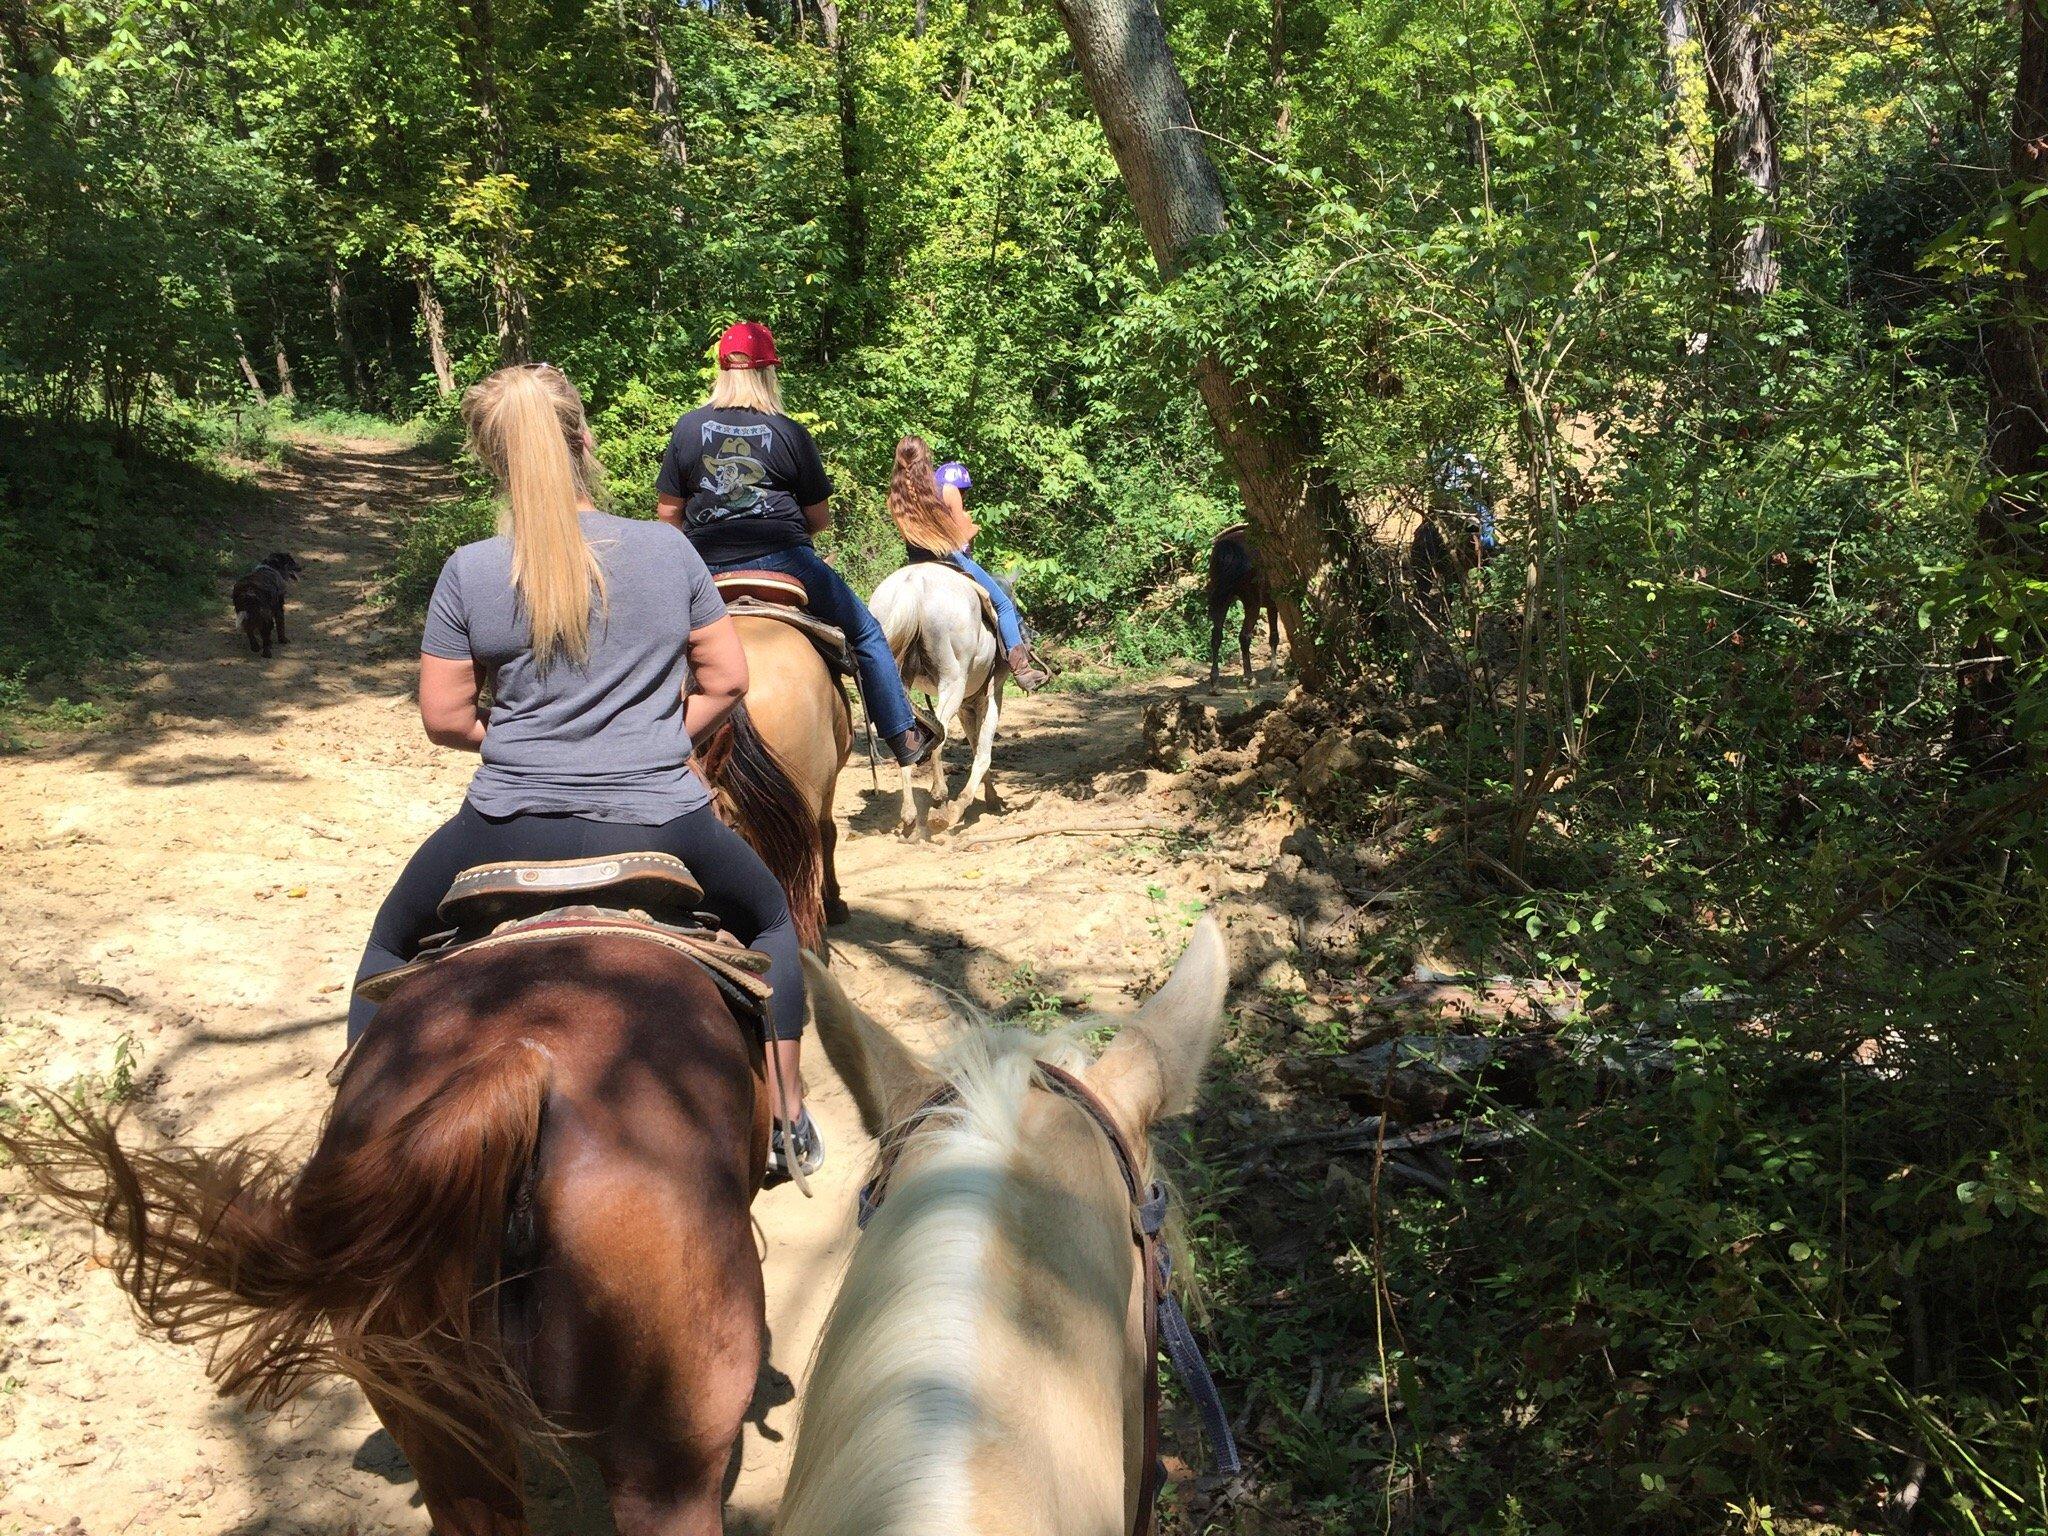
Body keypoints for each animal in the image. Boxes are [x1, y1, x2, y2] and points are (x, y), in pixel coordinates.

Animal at [872, 561, 1007, 835]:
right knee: (940, 739)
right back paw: (941, 801)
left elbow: (976, 747)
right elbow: (983, 752)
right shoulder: (990, 697)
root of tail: (913, 583)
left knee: (908, 742)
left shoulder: (968, 706)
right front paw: (977, 801)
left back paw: (910, 817)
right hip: (952, 683)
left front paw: (990, 797)